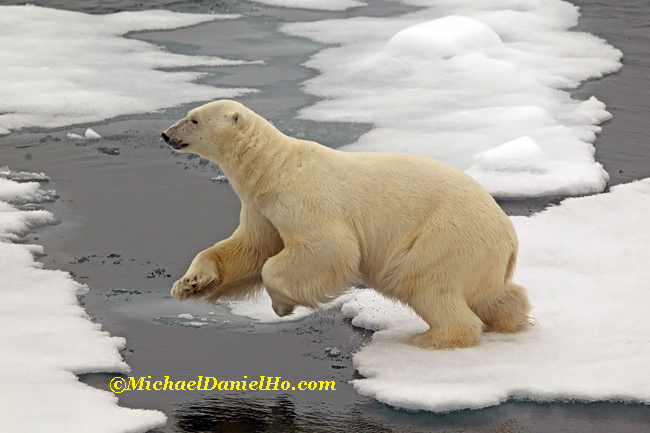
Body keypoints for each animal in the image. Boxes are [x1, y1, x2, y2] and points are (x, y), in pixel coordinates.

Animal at [163, 98, 532, 348]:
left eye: (194, 120)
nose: (166, 134)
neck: (273, 167)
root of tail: (509, 236)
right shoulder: (261, 208)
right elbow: (249, 249)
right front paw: (190, 283)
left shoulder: (303, 198)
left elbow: (326, 247)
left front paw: (282, 305)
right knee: (492, 293)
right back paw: (509, 318)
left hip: (444, 239)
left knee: (428, 285)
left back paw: (428, 339)